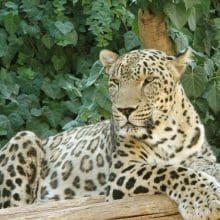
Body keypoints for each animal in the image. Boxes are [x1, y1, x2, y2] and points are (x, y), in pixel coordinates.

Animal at [0, 48, 220, 220]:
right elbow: (170, 170)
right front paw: (205, 199)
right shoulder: (122, 171)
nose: (124, 110)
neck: (168, 130)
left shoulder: (200, 156)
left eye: (149, 80)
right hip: (24, 138)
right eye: (115, 81)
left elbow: (203, 166)